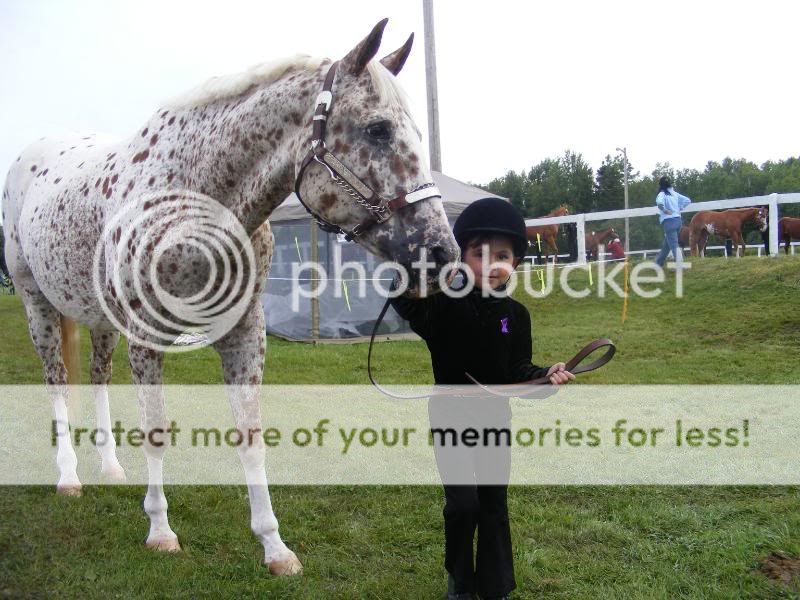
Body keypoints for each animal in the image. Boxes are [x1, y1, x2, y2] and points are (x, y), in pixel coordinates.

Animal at [0, 21, 460, 576]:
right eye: (377, 129)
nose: (441, 251)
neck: (194, 199)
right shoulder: (147, 339)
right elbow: (155, 431)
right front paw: (160, 531)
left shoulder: (243, 333)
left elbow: (250, 436)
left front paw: (274, 546)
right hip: (37, 306)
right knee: (56, 382)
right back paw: (69, 477)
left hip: (102, 321)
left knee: (96, 377)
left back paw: (110, 467)